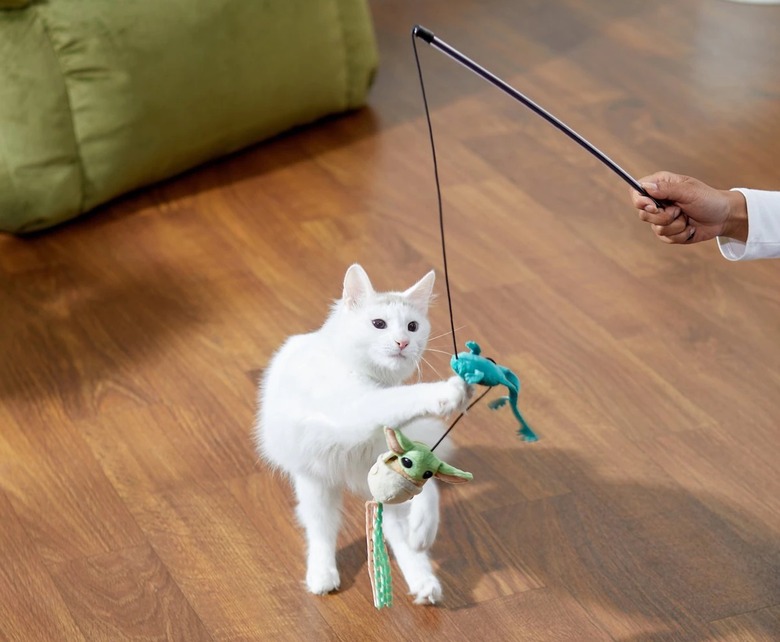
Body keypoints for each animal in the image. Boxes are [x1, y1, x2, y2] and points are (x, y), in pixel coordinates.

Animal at [256, 262, 470, 604]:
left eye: (412, 326)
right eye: (378, 324)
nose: (402, 343)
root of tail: (351, 477)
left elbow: (428, 480)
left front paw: (423, 527)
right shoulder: (353, 409)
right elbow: (399, 399)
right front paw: (447, 392)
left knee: (404, 530)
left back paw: (423, 573)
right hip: (316, 487)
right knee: (322, 531)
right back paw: (323, 576)